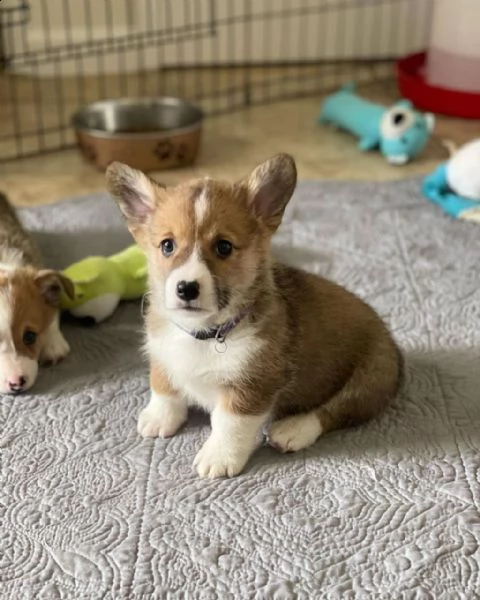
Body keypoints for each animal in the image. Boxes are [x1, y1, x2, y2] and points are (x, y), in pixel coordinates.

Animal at [107, 154, 404, 478]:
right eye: (167, 245)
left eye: (224, 247)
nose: (186, 288)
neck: (205, 333)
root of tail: (392, 342)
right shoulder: (162, 354)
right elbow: (163, 386)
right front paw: (158, 418)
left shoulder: (253, 386)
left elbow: (230, 424)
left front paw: (219, 457)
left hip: (369, 379)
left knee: (334, 411)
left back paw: (293, 429)